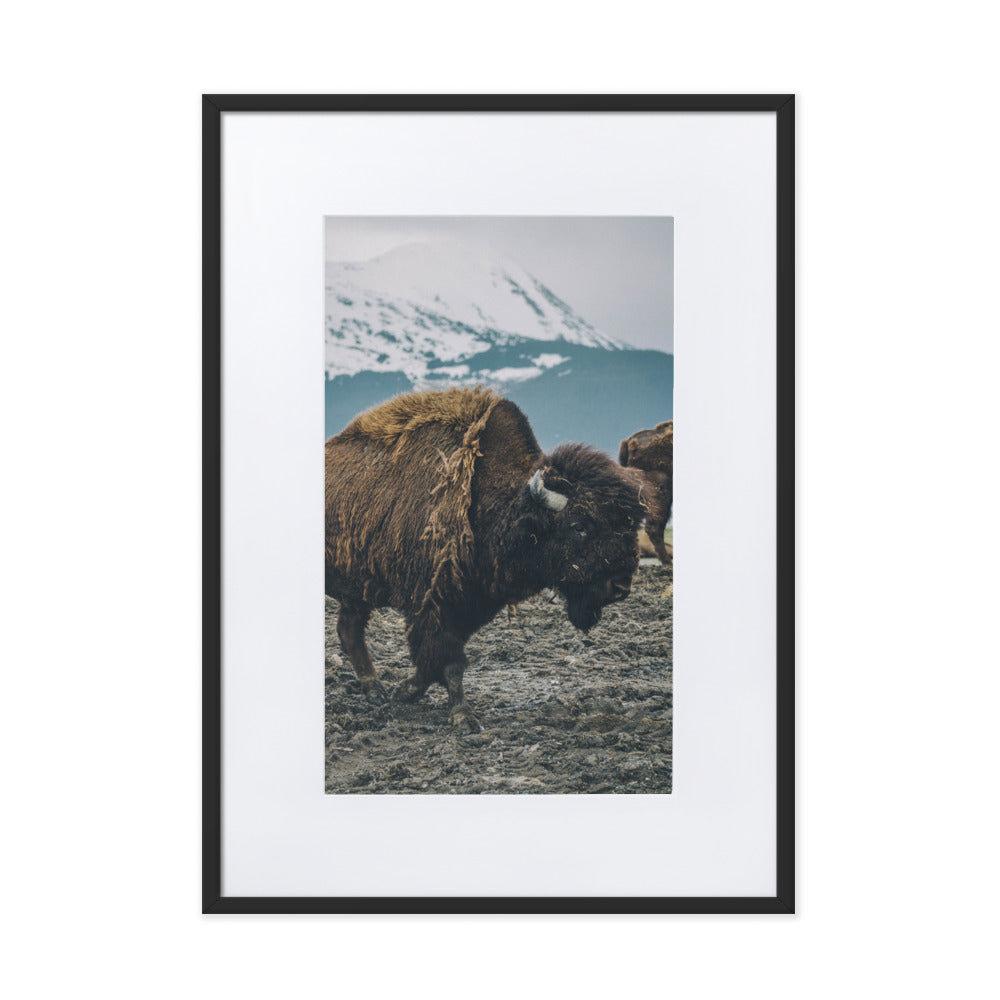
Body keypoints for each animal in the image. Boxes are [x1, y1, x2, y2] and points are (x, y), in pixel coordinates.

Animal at [325, 387, 657, 733]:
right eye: (579, 526)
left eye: (631, 526)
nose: (620, 587)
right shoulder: (435, 606)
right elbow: (449, 661)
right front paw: (464, 717)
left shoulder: (472, 605)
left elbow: (434, 662)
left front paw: (405, 692)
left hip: (358, 591)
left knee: (349, 629)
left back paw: (375, 690)